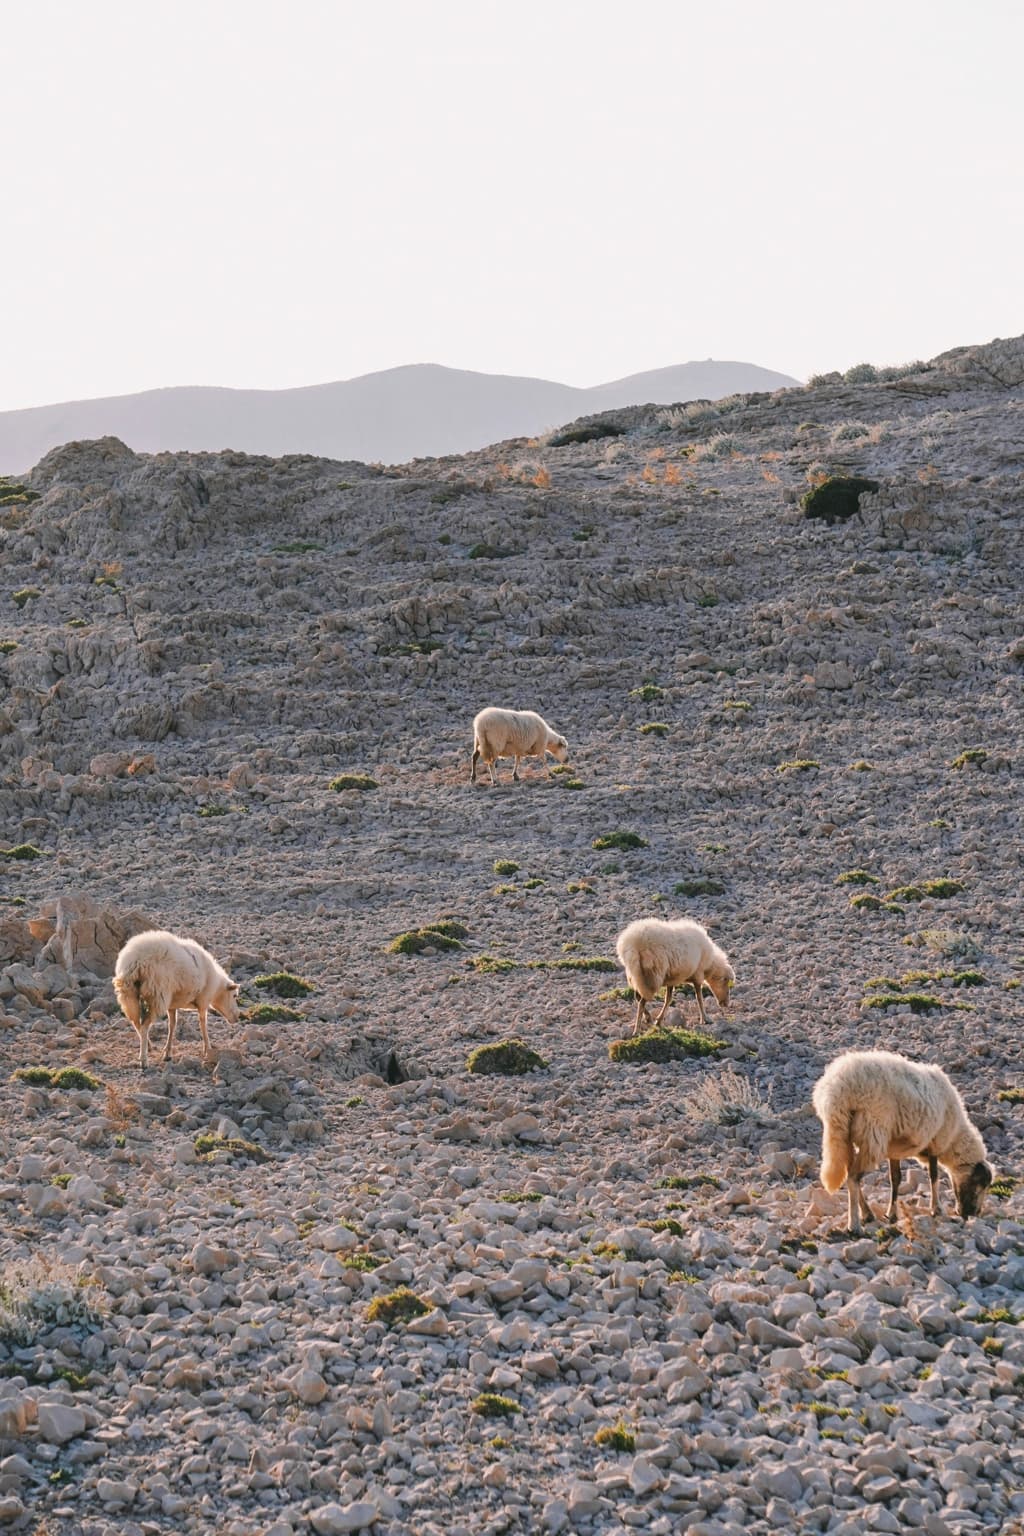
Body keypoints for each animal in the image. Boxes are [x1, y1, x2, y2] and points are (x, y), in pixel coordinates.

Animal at [113, 929, 241, 1070]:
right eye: (234, 995)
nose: (237, 1017)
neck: (216, 986)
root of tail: (136, 960)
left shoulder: (172, 1005)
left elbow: (172, 1025)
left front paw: (167, 1053)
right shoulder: (203, 1001)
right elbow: (203, 1025)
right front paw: (208, 1049)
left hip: (128, 993)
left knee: (136, 1022)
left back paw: (148, 1045)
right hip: (158, 994)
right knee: (145, 1025)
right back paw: (144, 1060)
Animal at [812, 1049, 993, 1234]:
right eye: (980, 1183)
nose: (973, 1213)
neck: (954, 1138)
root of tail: (838, 1089)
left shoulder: (894, 1150)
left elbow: (895, 1179)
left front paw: (891, 1214)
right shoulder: (935, 1141)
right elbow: (933, 1176)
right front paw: (936, 1209)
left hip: (844, 1135)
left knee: (850, 1172)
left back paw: (867, 1213)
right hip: (873, 1133)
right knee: (853, 1177)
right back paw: (854, 1224)